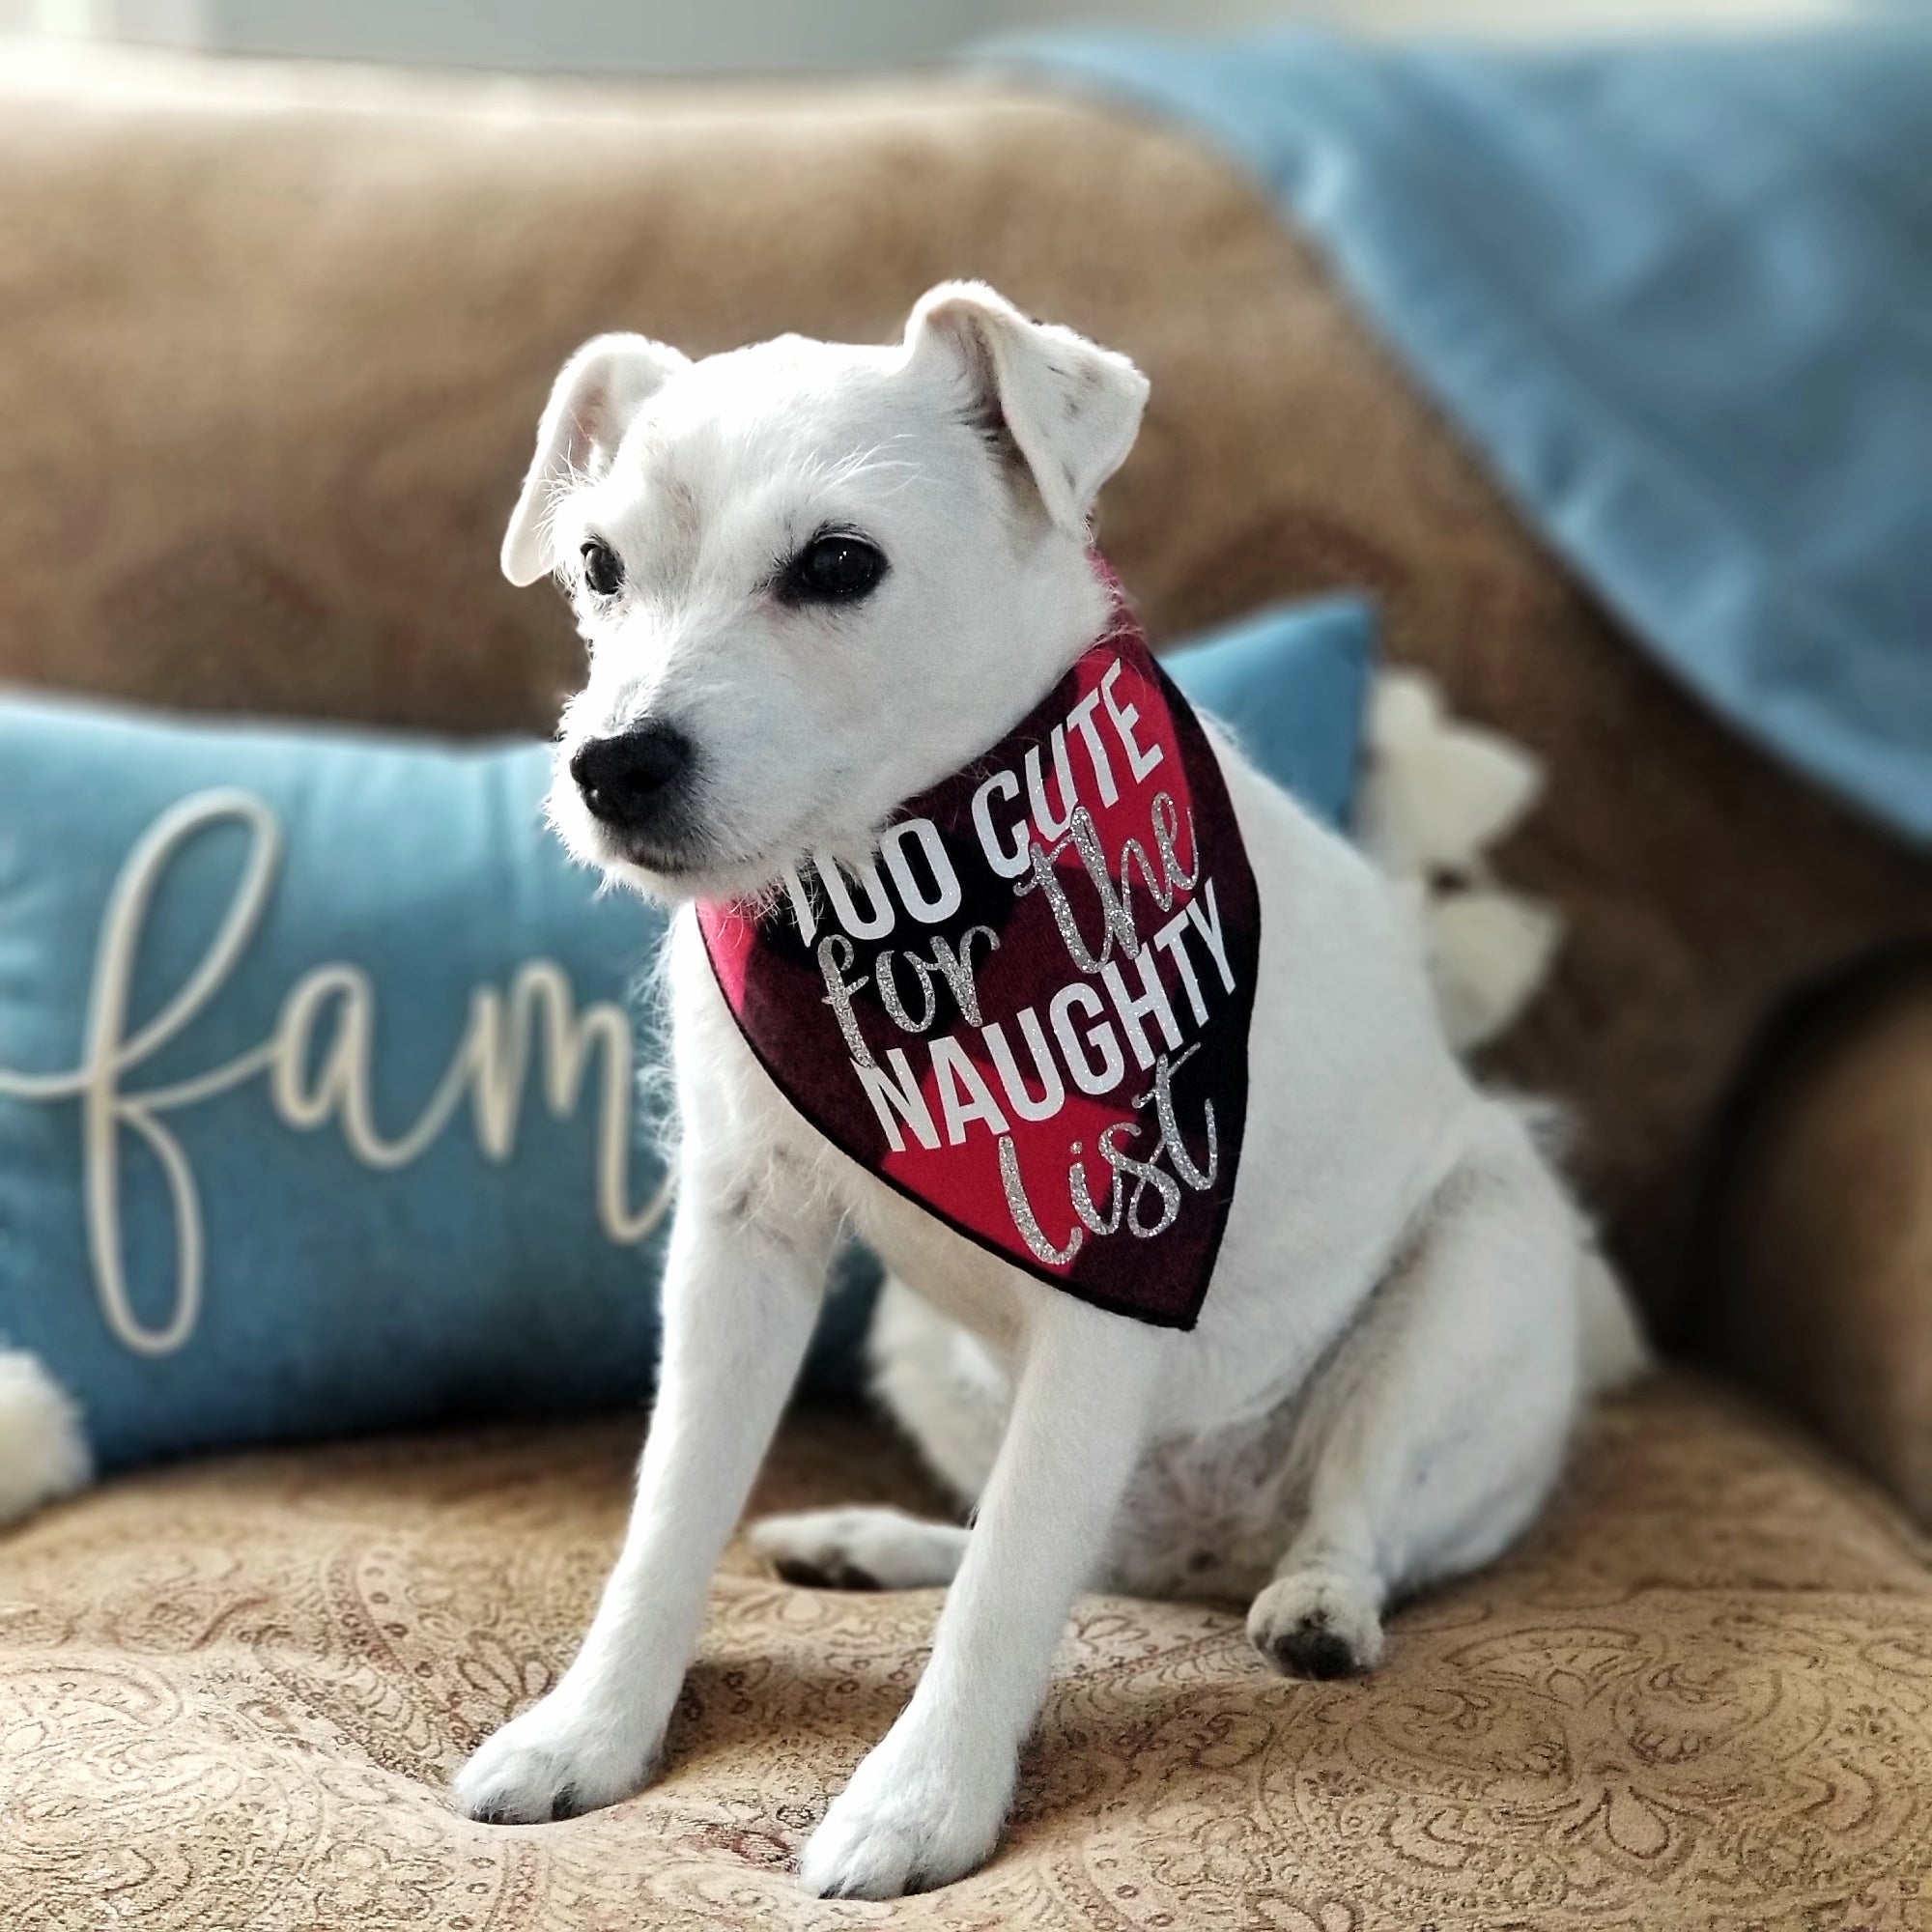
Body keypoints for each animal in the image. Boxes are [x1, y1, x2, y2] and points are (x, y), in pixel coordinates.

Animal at [456, 286, 1646, 1901]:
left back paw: (1317, 1603)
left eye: (839, 564)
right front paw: (593, 1728)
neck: (905, 890)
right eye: (598, 565)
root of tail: (1199, 1549)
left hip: (1479, 1261)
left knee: (1346, 1512)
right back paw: (879, 1543)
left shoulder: (1117, 1269)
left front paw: (920, 1802)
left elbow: (1018, 1580)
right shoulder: (740, 1241)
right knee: (1027, 1531)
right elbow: (672, 1510)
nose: (612, 762)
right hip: (923, 1350)